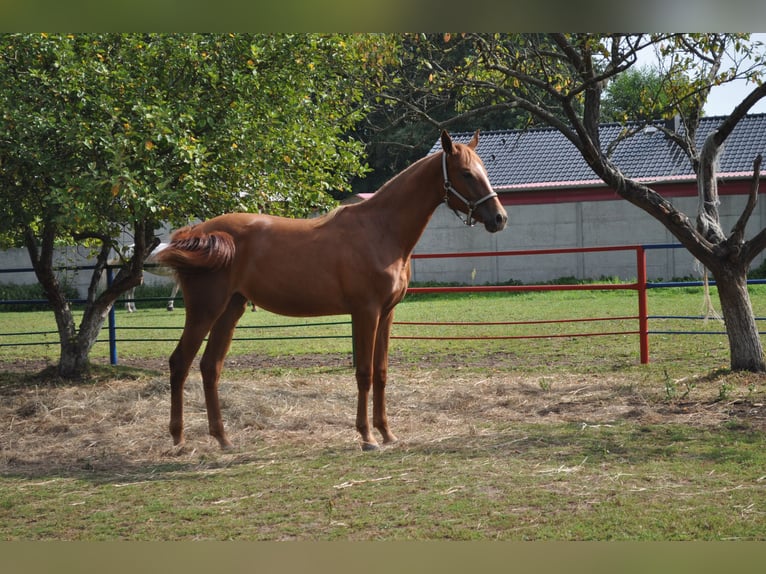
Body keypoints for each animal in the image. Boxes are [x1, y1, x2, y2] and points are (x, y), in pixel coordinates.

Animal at [157, 133, 510, 452]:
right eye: (466, 173)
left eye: (483, 170)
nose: (499, 218)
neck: (380, 230)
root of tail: (198, 232)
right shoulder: (366, 312)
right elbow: (364, 373)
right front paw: (367, 437)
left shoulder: (387, 314)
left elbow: (381, 373)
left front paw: (387, 433)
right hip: (205, 309)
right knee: (180, 363)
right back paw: (178, 439)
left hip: (231, 308)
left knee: (209, 367)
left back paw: (223, 439)